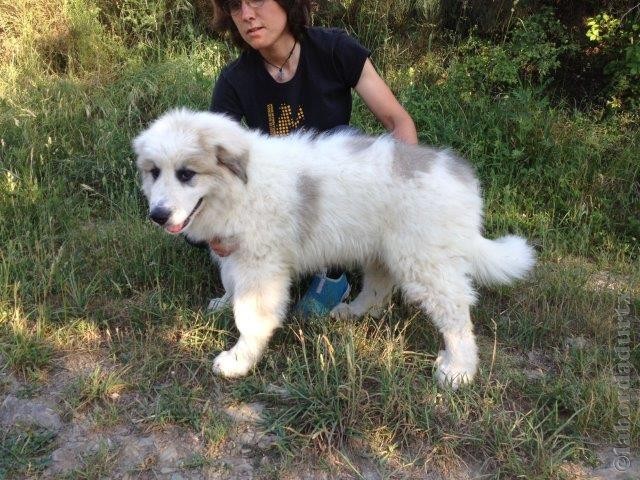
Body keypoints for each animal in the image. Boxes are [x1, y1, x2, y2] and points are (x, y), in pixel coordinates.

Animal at [134, 108, 536, 386]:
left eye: (186, 174)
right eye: (154, 172)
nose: (158, 215)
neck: (241, 185)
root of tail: (462, 179)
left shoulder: (261, 264)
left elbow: (250, 316)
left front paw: (238, 361)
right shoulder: (237, 253)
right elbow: (232, 286)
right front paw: (222, 302)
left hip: (423, 260)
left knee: (454, 310)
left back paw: (458, 369)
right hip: (384, 249)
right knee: (378, 289)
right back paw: (354, 311)